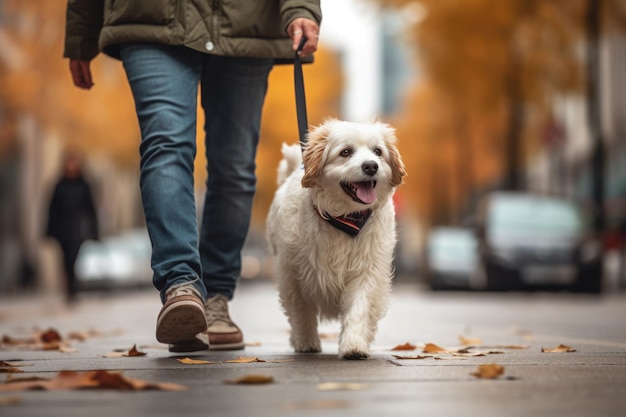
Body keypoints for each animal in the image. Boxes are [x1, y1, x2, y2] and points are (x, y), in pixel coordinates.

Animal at [266, 118, 404, 360]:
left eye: (378, 152)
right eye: (345, 152)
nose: (371, 166)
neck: (345, 218)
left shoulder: (367, 272)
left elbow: (359, 308)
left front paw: (354, 345)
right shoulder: (293, 276)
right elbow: (301, 313)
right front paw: (306, 341)